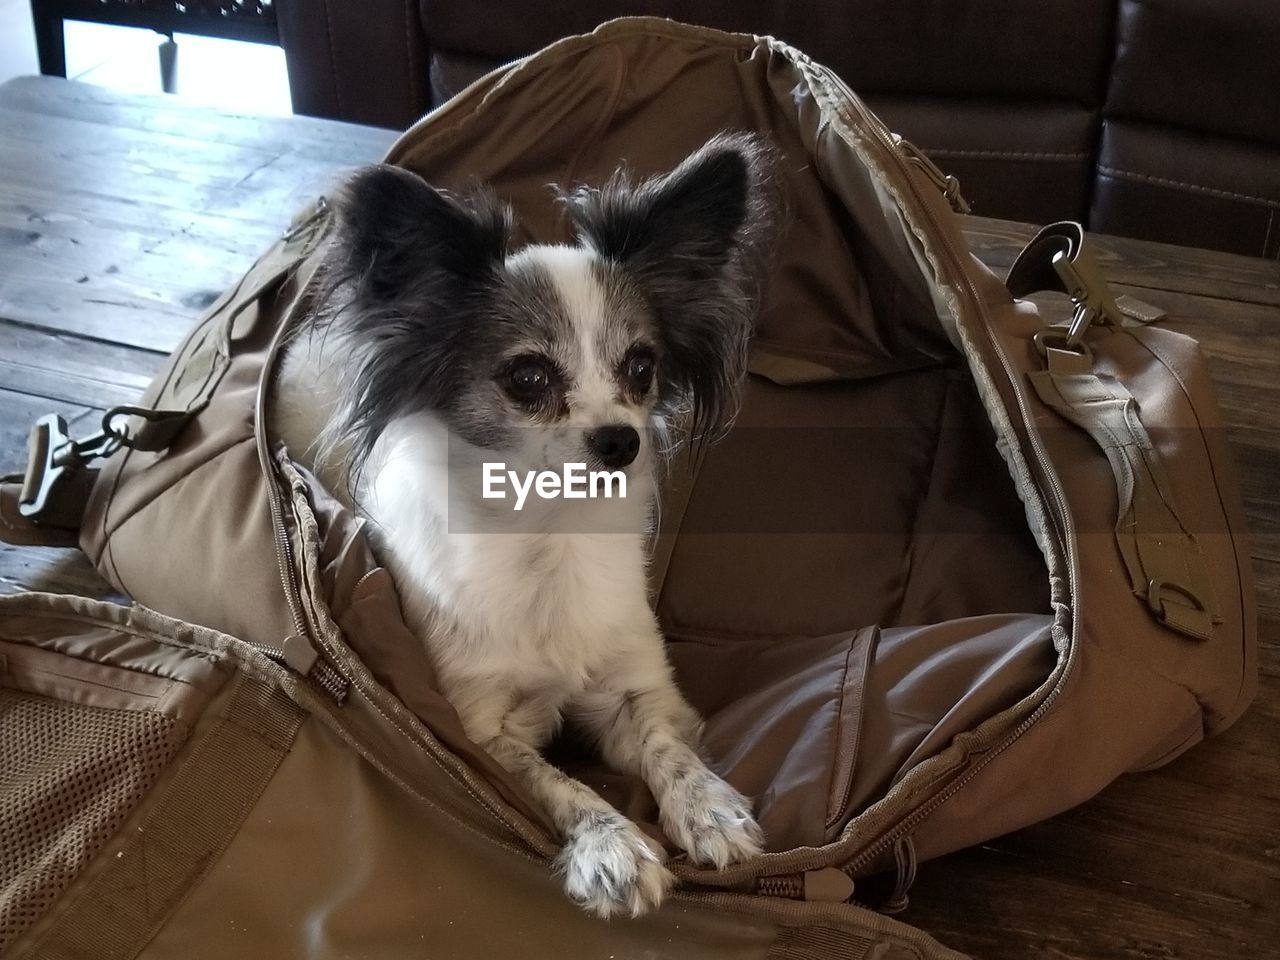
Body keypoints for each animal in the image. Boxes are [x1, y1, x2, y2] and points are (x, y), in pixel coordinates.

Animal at [275, 133, 778, 916]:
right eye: (529, 378)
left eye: (642, 367)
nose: (620, 441)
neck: (551, 532)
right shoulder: (484, 730)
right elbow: (557, 783)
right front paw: (611, 848)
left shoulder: (637, 689)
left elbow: (668, 749)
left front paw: (708, 808)